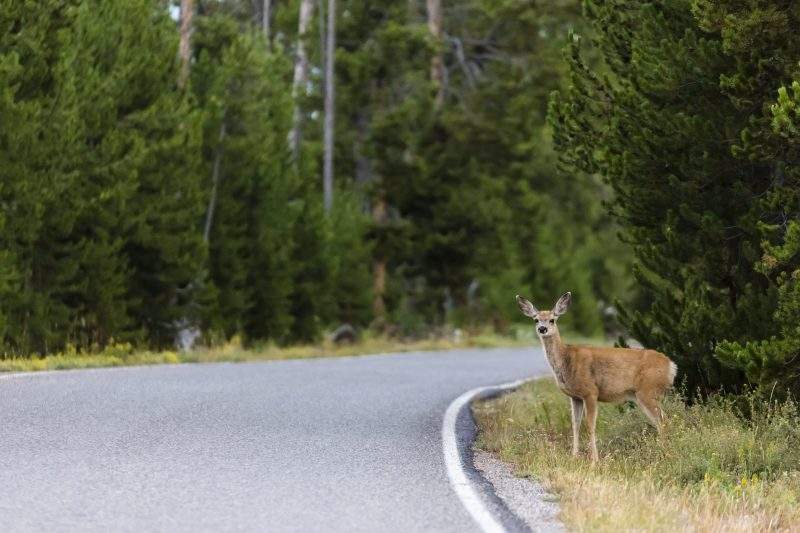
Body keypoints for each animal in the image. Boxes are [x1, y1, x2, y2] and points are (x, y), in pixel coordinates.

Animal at [516, 292, 677, 462]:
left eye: (552, 319)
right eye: (536, 319)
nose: (542, 328)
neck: (566, 360)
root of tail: (671, 365)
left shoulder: (590, 391)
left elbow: (590, 425)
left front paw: (594, 459)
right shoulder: (575, 397)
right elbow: (575, 425)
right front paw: (574, 456)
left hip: (648, 391)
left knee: (664, 420)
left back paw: (666, 453)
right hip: (644, 394)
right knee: (661, 420)